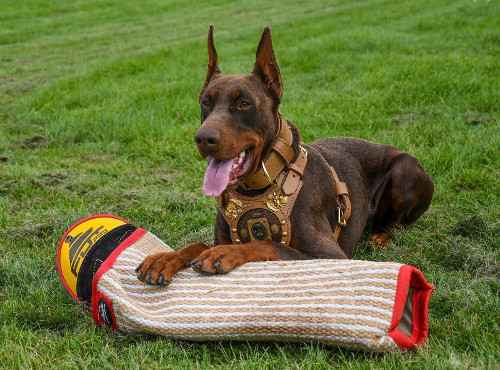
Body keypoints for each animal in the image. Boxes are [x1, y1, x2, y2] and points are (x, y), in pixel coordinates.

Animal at [136, 26, 434, 286]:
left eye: (244, 103)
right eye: (205, 102)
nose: (203, 139)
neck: (261, 183)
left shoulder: (330, 256)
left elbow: (267, 243)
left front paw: (225, 253)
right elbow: (197, 244)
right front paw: (167, 258)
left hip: (405, 169)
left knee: (399, 224)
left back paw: (382, 237)